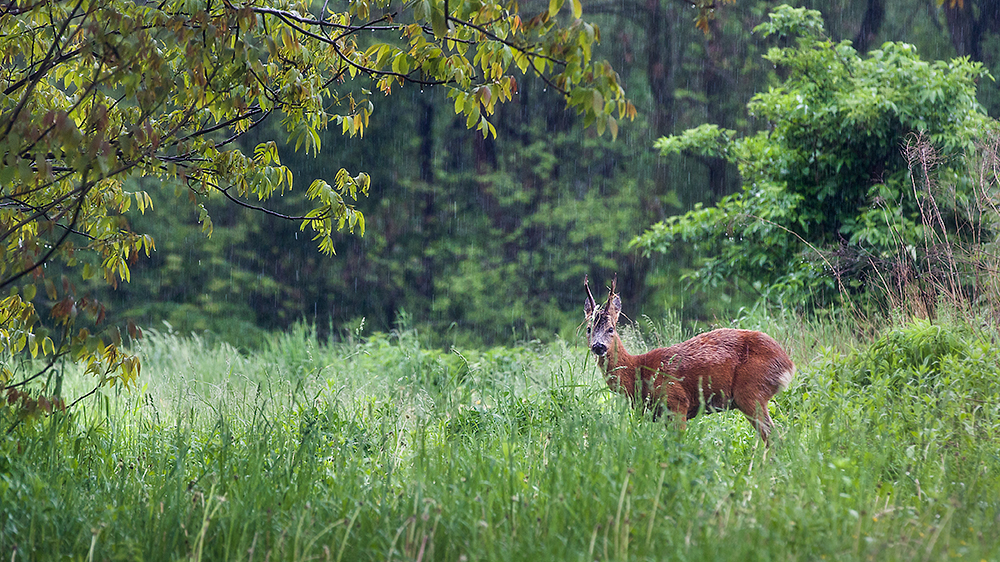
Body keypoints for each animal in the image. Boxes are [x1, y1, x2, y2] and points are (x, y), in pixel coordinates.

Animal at [584, 276, 792, 442]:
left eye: (611, 329)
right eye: (588, 329)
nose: (598, 346)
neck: (638, 371)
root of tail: (788, 364)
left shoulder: (677, 402)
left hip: (750, 390)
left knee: (774, 437)